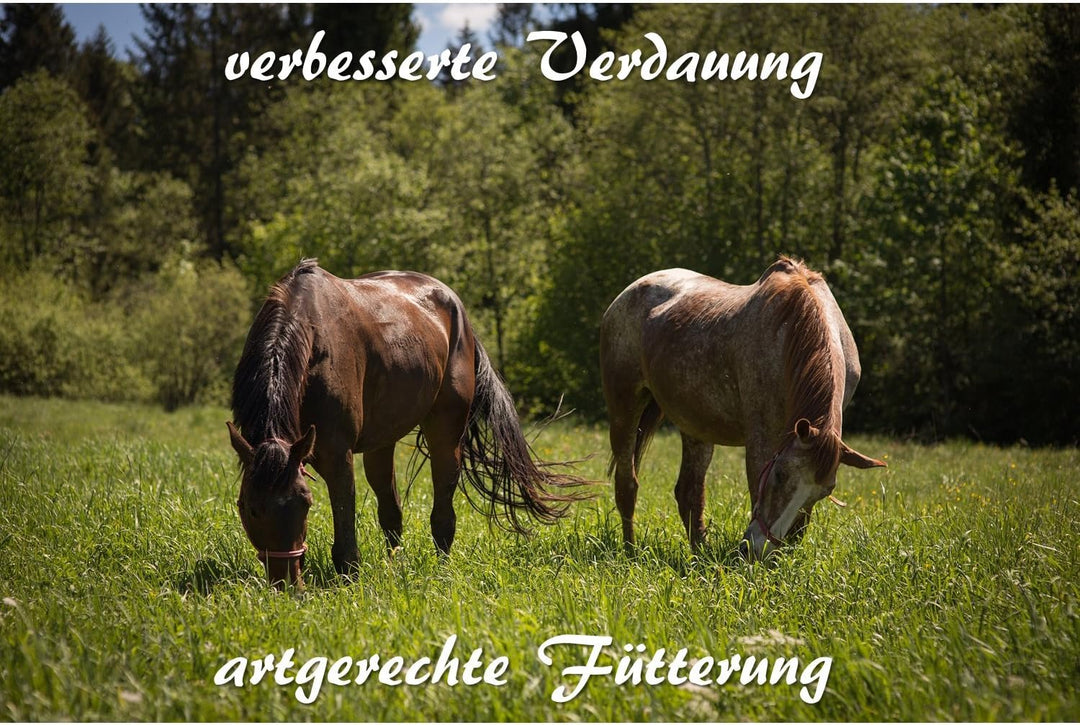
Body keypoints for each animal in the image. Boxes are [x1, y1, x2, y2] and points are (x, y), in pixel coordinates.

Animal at [227, 259, 587, 588]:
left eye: (305, 503)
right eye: (248, 507)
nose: (286, 583)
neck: (310, 336)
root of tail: (455, 305)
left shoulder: (337, 455)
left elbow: (345, 528)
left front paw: (349, 581)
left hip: (445, 435)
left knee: (443, 514)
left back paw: (442, 569)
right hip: (381, 443)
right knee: (391, 512)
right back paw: (393, 566)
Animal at [599, 257, 885, 560]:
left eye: (824, 492)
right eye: (780, 474)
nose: (758, 549)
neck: (792, 333)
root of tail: (628, 292)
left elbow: (801, 523)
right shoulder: (763, 438)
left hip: (696, 426)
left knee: (689, 492)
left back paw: (700, 555)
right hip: (625, 410)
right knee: (627, 484)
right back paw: (630, 552)